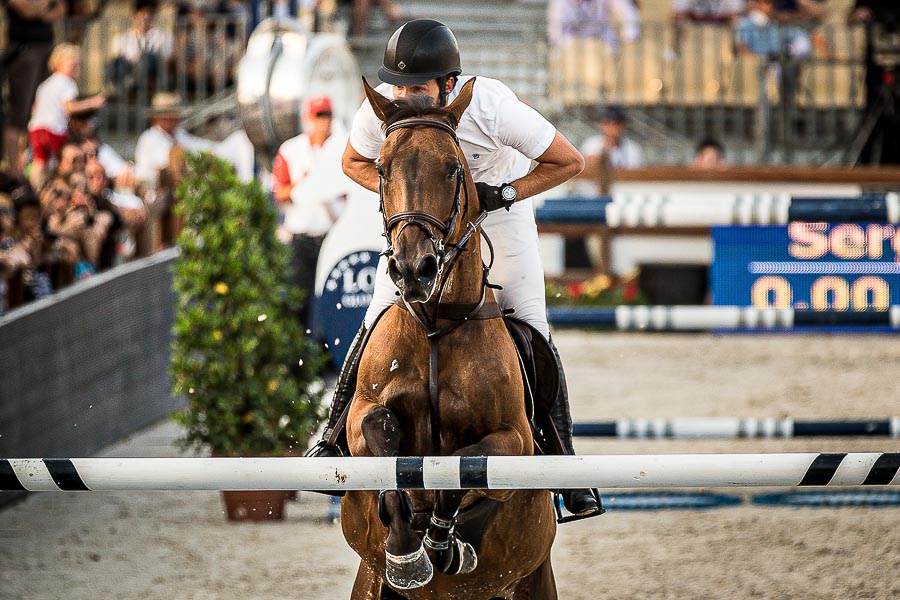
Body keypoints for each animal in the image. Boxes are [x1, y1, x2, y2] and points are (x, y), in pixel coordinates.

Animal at [342, 77, 560, 596]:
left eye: (454, 169)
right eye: (381, 169)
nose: (413, 269)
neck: (436, 324)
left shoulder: (515, 440)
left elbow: (463, 463)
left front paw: (444, 541)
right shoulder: (361, 418)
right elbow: (381, 435)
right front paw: (407, 551)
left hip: (534, 577)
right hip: (368, 581)